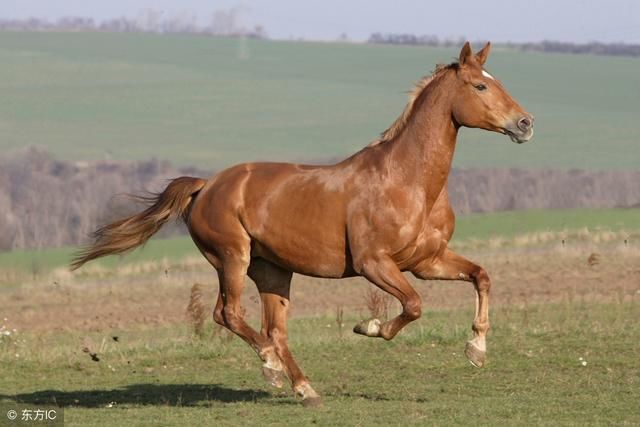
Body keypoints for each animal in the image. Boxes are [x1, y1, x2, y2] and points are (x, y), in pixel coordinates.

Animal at [72, 42, 536, 408]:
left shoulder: (428, 261)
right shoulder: (374, 264)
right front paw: (368, 327)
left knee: (274, 330)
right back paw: (272, 369)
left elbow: (481, 277)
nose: (526, 124)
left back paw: (303, 388)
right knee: (230, 314)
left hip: (273, 271)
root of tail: (206, 186)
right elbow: (413, 305)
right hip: (233, 258)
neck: (409, 182)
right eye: (480, 86)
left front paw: (476, 350)